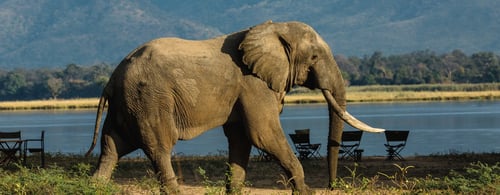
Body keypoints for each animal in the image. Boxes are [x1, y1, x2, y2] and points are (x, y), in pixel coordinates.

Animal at [85, 19, 382, 193]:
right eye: (315, 57)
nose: (332, 186)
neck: (274, 29)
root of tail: (111, 79)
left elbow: (241, 138)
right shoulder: (253, 84)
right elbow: (263, 134)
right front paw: (305, 192)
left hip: (128, 103)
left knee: (112, 147)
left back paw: (95, 185)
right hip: (148, 99)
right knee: (159, 147)